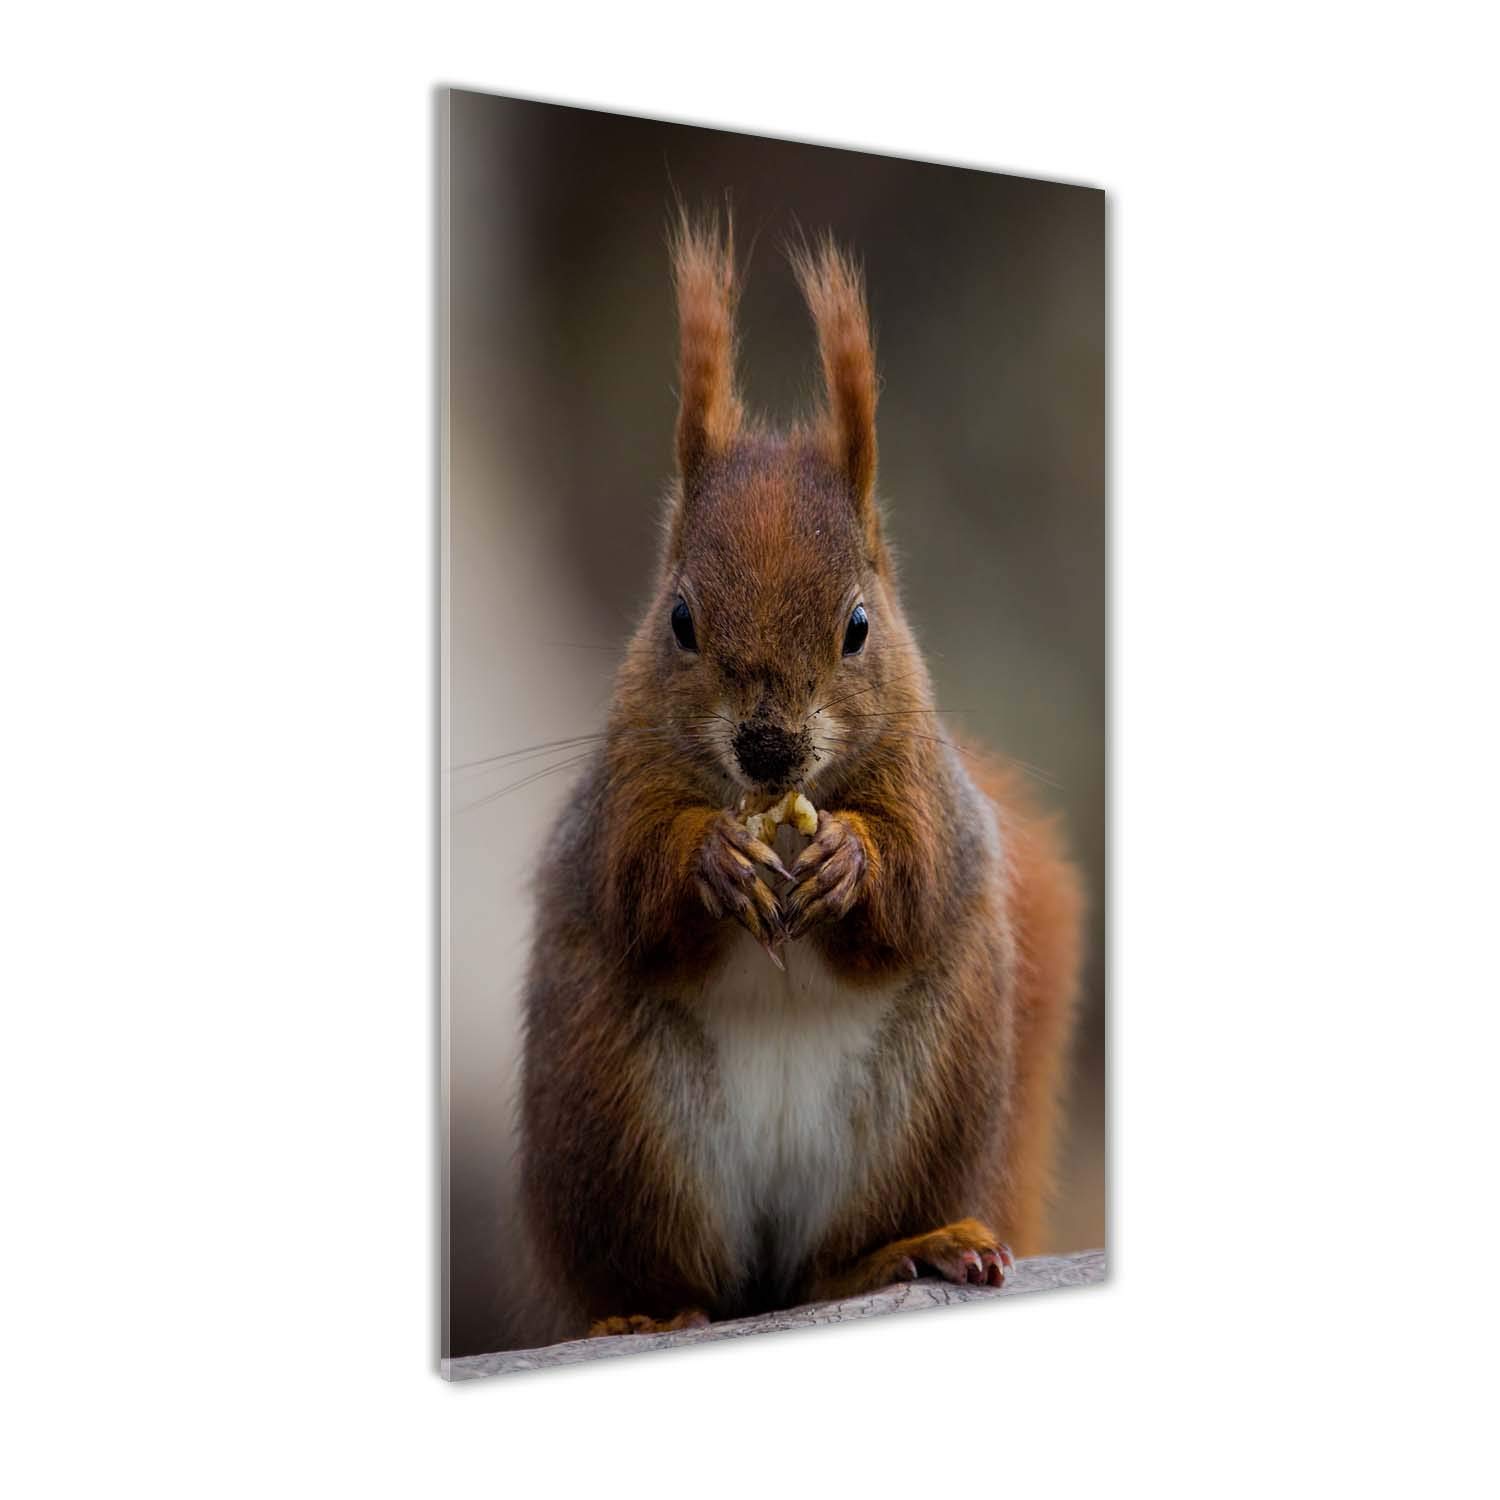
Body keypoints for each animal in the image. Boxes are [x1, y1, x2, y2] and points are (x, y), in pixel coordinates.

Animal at [518, 213, 1085, 1339]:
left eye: (859, 624)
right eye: (679, 619)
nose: (770, 749)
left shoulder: (932, 791)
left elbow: (917, 877)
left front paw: (850, 862)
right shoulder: (617, 792)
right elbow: (630, 879)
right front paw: (710, 859)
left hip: (927, 1099)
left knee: (829, 1270)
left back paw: (906, 1252)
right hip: (618, 1118)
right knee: (684, 1277)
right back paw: (648, 1316)